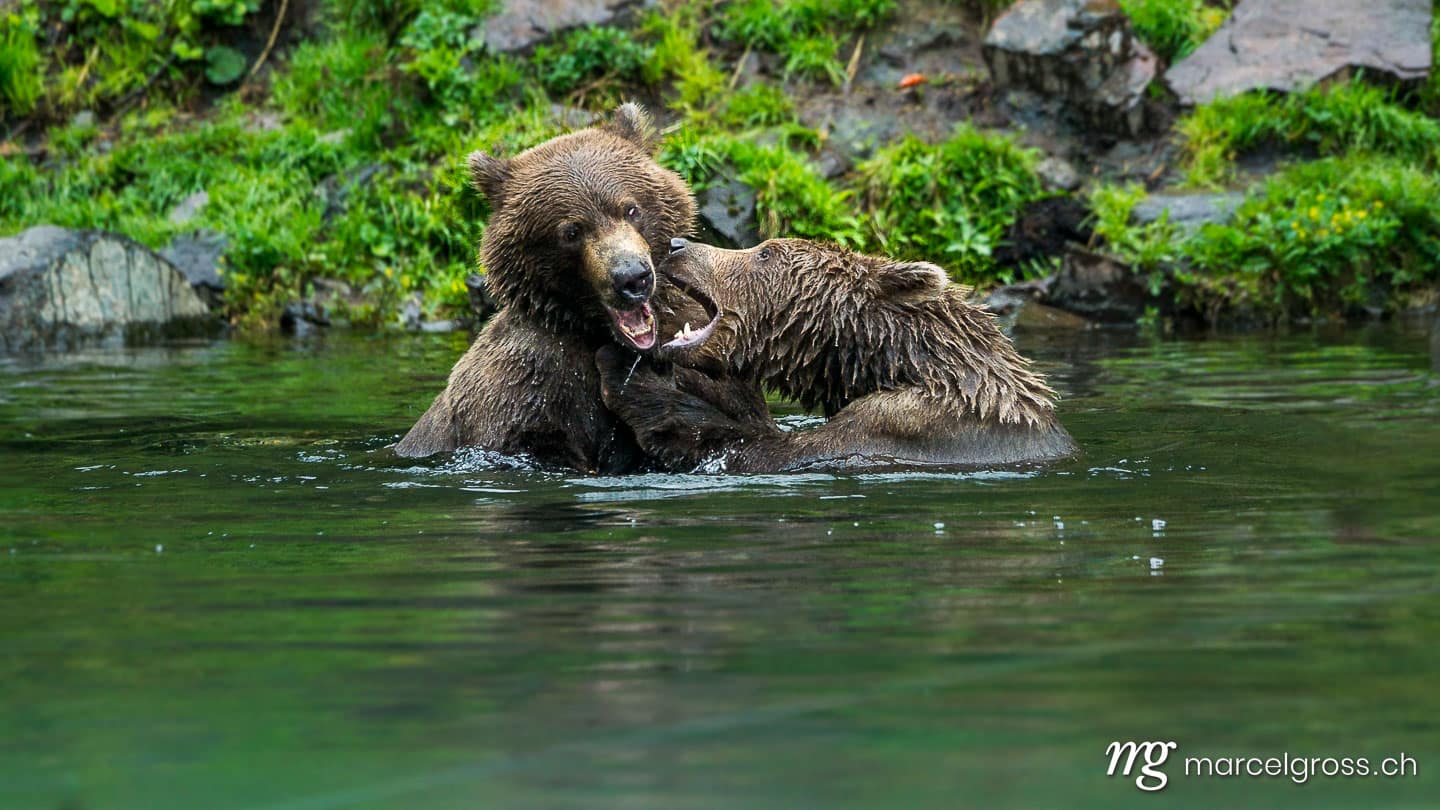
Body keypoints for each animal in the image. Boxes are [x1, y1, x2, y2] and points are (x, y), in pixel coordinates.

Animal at [394, 104, 746, 471]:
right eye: (572, 231)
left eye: (631, 208)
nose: (631, 277)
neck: (597, 335)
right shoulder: (526, 392)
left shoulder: (702, 354)